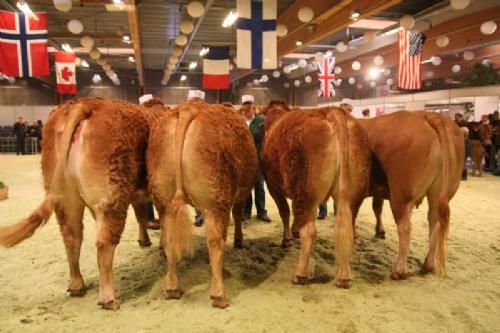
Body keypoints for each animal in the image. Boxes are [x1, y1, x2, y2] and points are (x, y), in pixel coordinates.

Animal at [0, 97, 166, 310]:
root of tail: (83, 103)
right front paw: (161, 246)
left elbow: (141, 215)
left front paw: (145, 240)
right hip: (112, 196)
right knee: (103, 243)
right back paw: (108, 298)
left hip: (65, 200)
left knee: (71, 238)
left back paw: (77, 285)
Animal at [146, 100, 258, 308]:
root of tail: (188, 108)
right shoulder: (239, 195)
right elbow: (238, 215)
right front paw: (238, 240)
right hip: (216, 201)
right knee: (215, 241)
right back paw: (219, 295)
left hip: (163, 199)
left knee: (169, 239)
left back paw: (172, 289)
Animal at [262, 105, 372, 286]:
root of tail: (331, 111)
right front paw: (294, 231)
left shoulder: (272, 186)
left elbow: (284, 211)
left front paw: (288, 239)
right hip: (351, 194)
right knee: (346, 228)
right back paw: (344, 276)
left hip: (305, 191)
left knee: (310, 231)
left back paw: (300, 274)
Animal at [360, 111, 464, 278]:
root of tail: (429, 115)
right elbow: (377, 207)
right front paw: (379, 231)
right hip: (440, 194)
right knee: (435, 223)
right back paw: (428, 265)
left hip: (401, 196)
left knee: (405, 227)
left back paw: (399, 270)